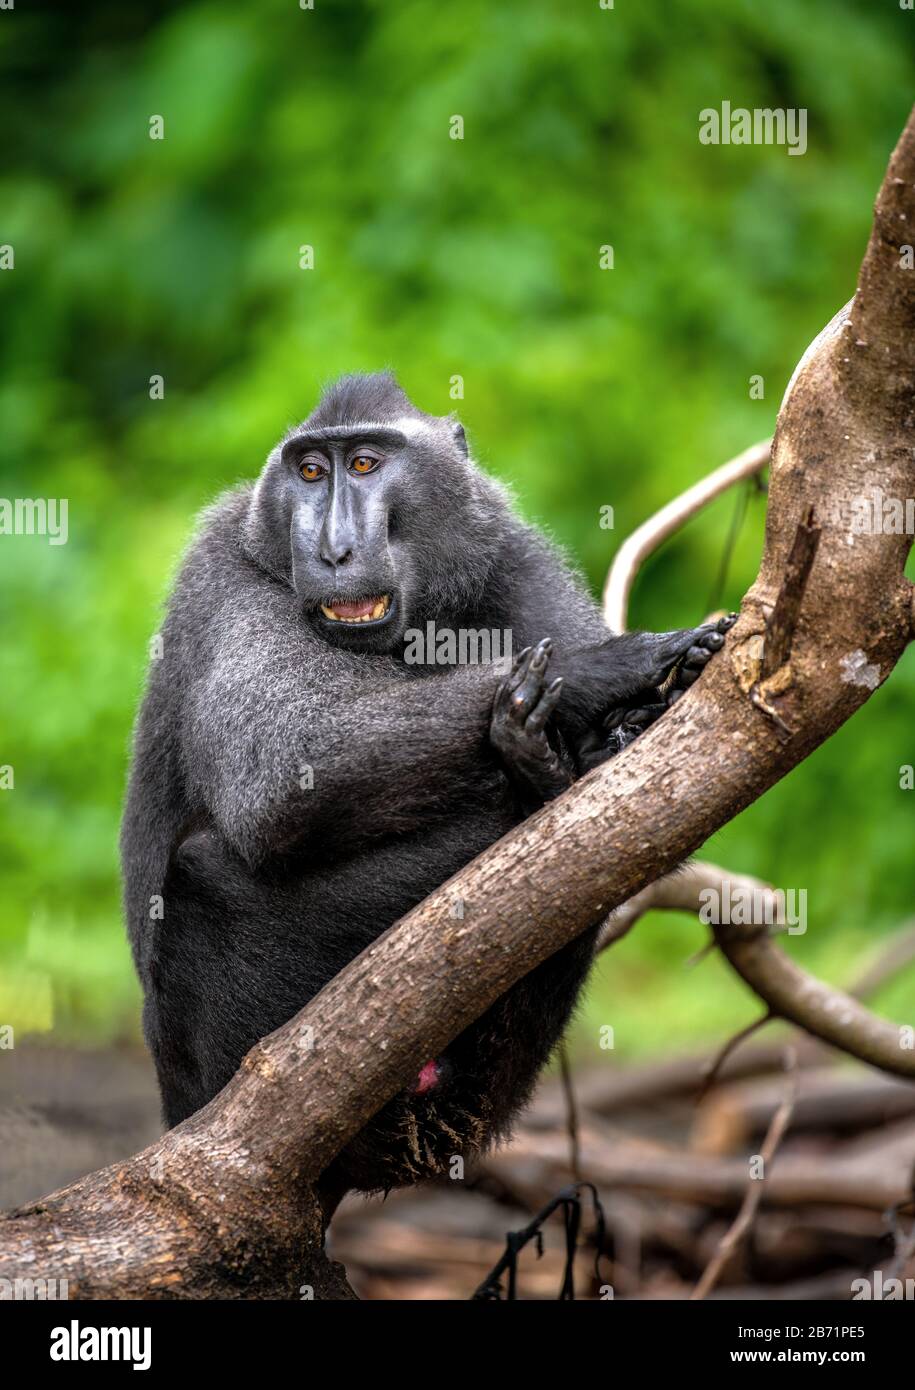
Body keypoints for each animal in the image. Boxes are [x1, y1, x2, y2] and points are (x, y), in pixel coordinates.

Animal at [121, 371, 735, 1192]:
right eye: (309, 471)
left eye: (366, 464)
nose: (334, 549)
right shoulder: (224, 567)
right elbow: (279, 770)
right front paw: (609, 672)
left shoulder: (512, 555)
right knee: (197, 877)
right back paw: (545, 776)